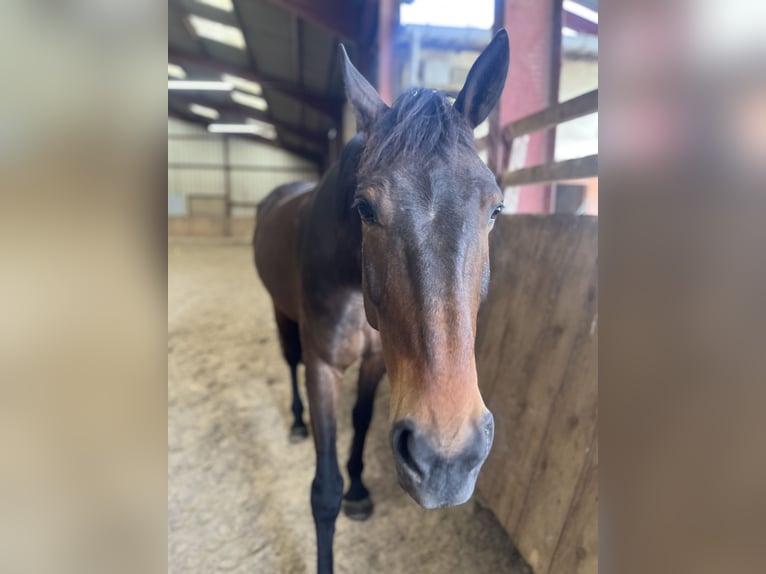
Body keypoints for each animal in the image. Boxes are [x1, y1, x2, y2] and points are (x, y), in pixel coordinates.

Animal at [252, 30, 512, 574]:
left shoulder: (376, 364)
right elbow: (323, 491)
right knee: (288, 360)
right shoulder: (323, 368)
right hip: (281, 313)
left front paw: (359, 491)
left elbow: (361, 421)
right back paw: (295, 422)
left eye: (495, 208)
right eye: (365, 208)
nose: (447, 458)